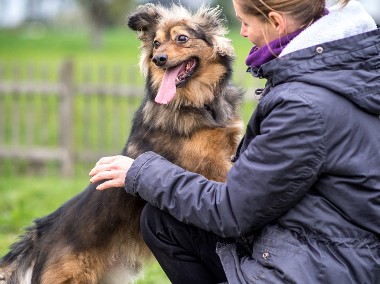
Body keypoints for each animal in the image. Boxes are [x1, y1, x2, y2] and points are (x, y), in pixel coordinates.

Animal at [0, 3, 243, 282]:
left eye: (182, 38)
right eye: (156, 43)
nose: (158, 59)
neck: (197, 104)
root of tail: (41, 232)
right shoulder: (214, 167)